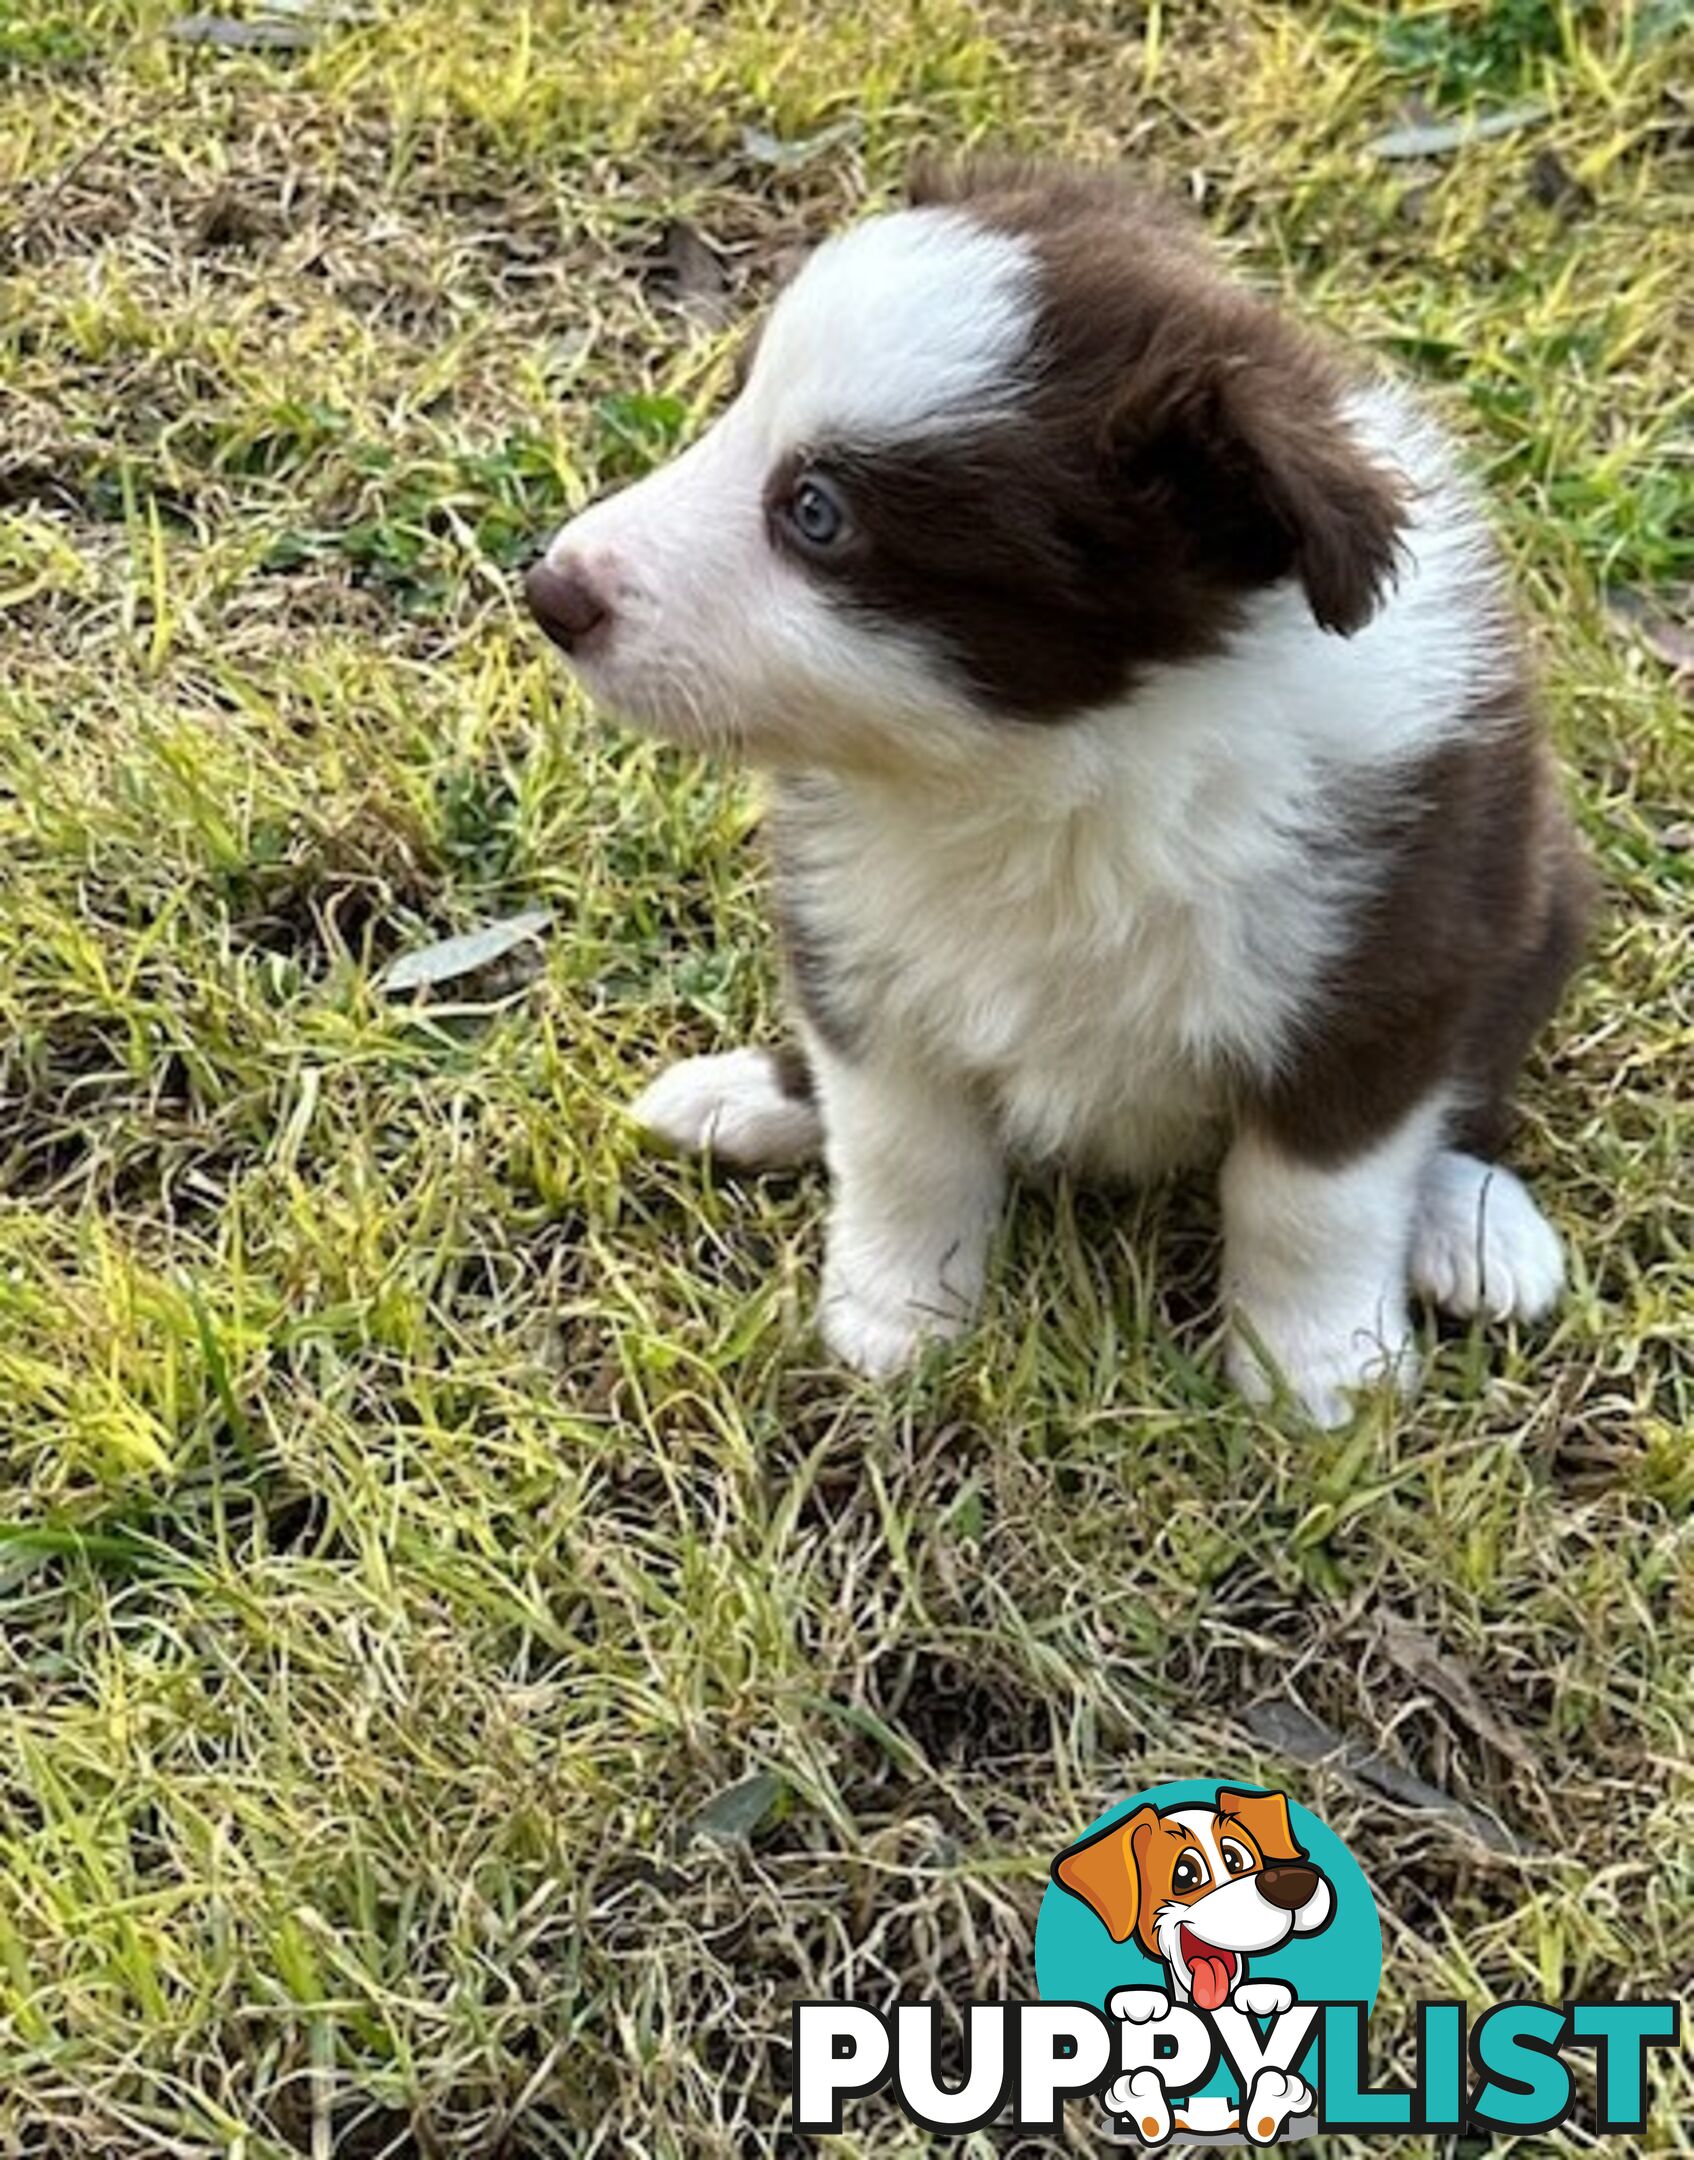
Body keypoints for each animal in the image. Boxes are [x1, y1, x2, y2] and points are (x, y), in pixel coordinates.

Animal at [525, 159, 1590, 1425]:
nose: (550, 590)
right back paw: (751, 1098)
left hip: (1538, 899)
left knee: (1468, 1089)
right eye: (734, 411)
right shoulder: (855, 945)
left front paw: (1314, 1371)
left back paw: (1470, 1222)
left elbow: (1307, 1197)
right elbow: (901, 1143)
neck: (1042, 776)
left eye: (816, 514)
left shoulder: (1379, 971)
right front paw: (898, 1317)